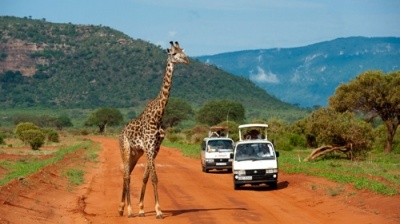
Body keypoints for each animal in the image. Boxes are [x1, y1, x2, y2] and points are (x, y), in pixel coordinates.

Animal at [117, 40, 189, 219]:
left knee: (127, 174)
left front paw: (142, 209)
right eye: (174, 54)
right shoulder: (149, 147)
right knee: (127, 176)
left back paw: (121, 208)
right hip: (125, 149)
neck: (159, 116)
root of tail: (120, 133)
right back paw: (129, 211)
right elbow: (155, 178)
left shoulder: (155, 148)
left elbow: (146, 177)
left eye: (184, 52)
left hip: (136, 153)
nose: (187, 61)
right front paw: (158, 211)